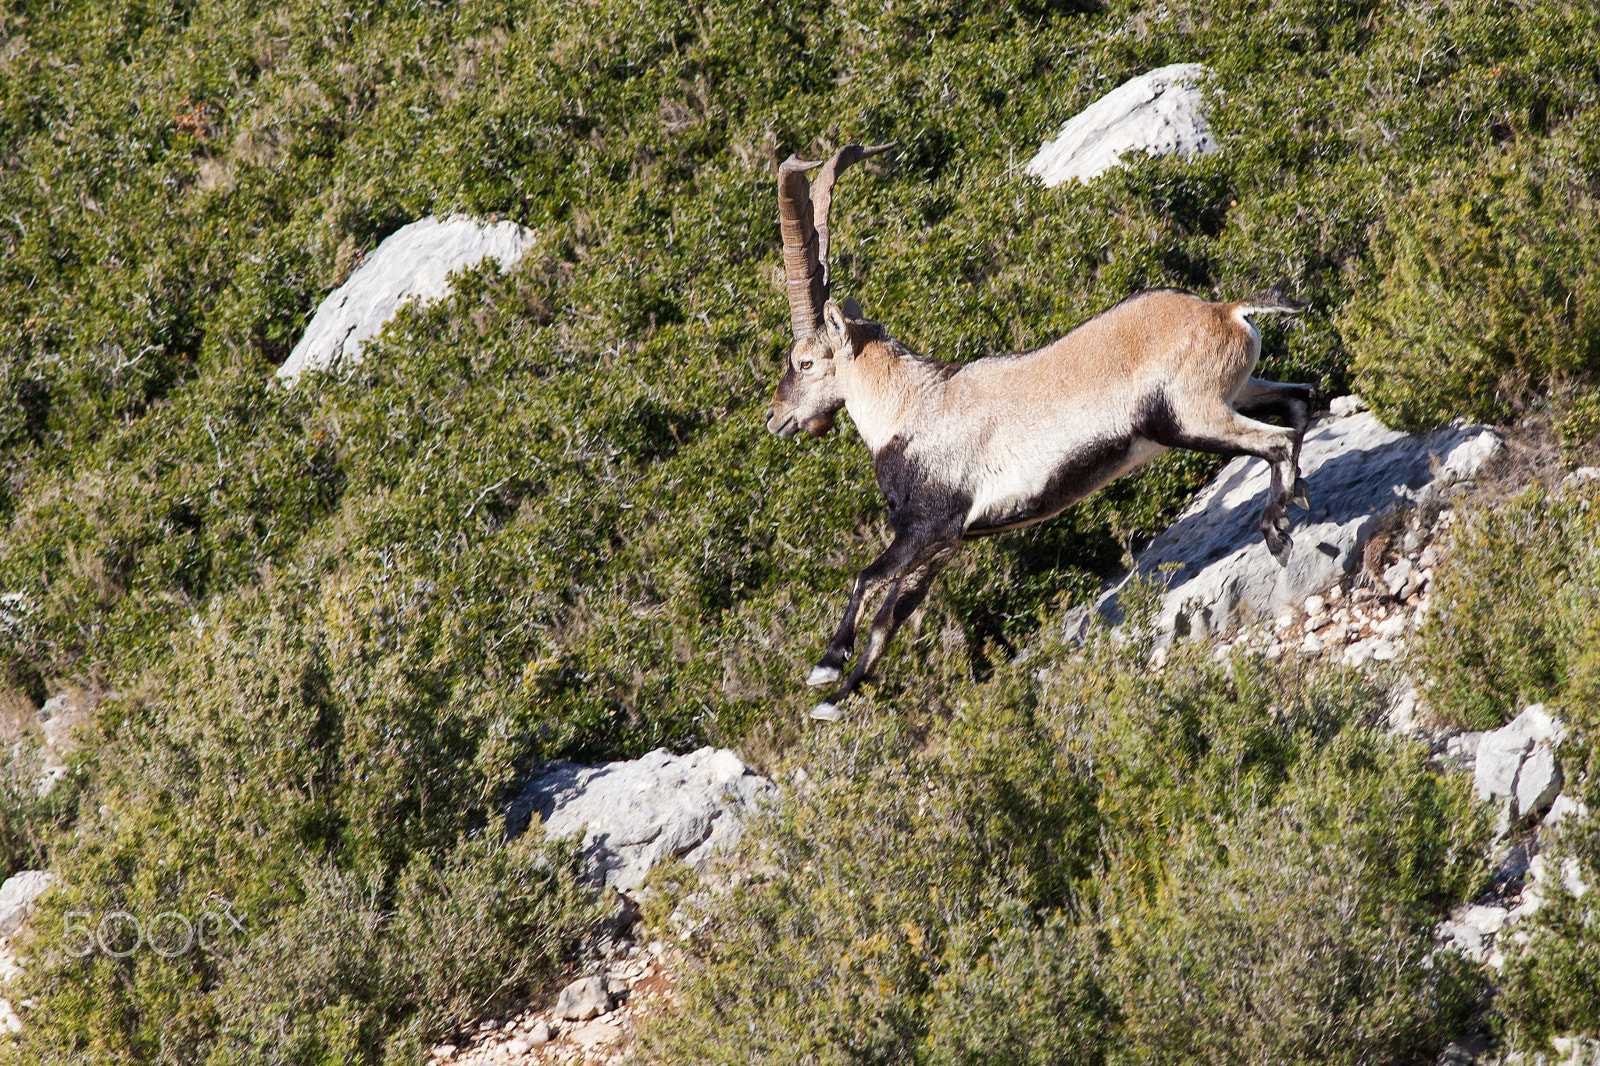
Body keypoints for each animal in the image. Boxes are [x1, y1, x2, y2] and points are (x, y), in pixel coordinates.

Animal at [766, 145, 1314, 721]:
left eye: (805, 362)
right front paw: (837, 699)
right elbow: (889, 619)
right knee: (1299, 400)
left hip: (1188, 415)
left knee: (1275, 441)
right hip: (1234, 390)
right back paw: (1298, 494)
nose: (775, 416)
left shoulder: (930, 523)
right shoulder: (944, 543)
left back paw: (1277, 533)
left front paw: (825, 666)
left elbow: (867, 578)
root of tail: (1225, 311)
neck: (910, 408)